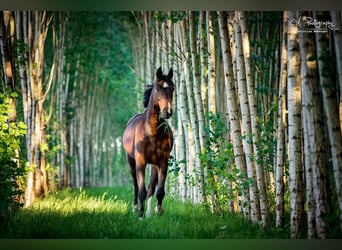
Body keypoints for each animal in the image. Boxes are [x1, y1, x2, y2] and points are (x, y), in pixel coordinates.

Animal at [122, 67, 174, 217]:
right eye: (157, 88)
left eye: (172, 88)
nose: (167, 112)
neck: (151, 132)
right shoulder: (140, 162)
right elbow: (141, 190)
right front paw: (140, 215)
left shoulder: (163, 162)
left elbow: (159, 191)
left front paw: (158, 210)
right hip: (131, 161)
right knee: (135, 184)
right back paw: (135, 207)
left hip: (154, 165)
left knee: (151, 187)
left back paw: (150, 212)